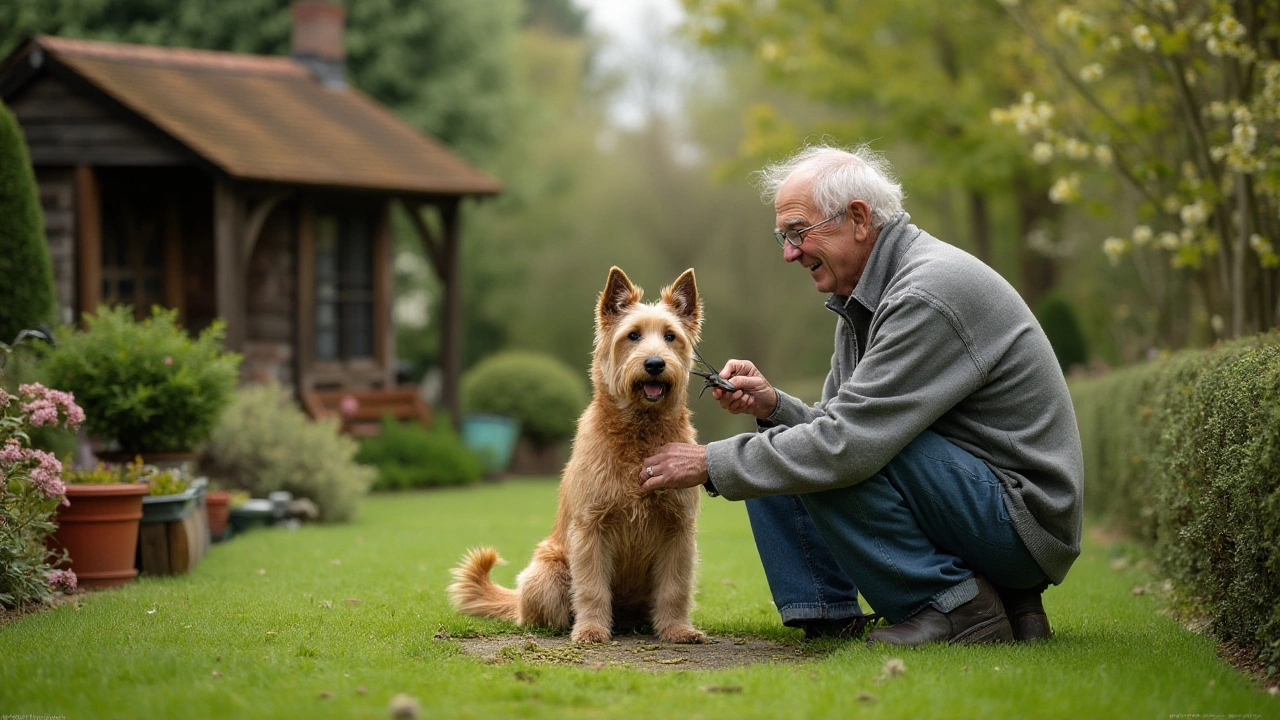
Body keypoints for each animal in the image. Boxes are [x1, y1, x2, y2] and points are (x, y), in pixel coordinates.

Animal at [448, 266, 711, 640]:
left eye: (670, 336)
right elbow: (591, 587)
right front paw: (591, 631)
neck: (639, 435)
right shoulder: (591, 528)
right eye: (633, 335)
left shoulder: (679, 530)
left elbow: (675, 588)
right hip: (548, 573)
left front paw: (677, 630)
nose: (655, 364)